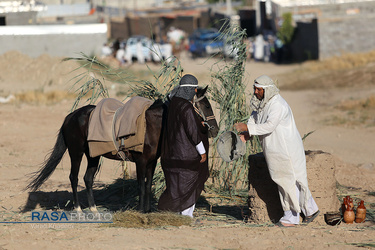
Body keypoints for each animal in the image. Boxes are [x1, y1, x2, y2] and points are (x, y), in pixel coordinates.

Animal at [27, 86, 220, 213]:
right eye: (207, 106)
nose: (216, 130)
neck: (152, 125)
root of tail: (71, 116)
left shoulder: (151, 162)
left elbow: (148, 185)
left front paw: (147, 211)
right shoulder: (141, 162)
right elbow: (141, 186)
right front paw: (140, 211)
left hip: (93, 156)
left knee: (87, 179)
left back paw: (94, 210)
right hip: (76, 153)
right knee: (73, 178)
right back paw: (79, 210)